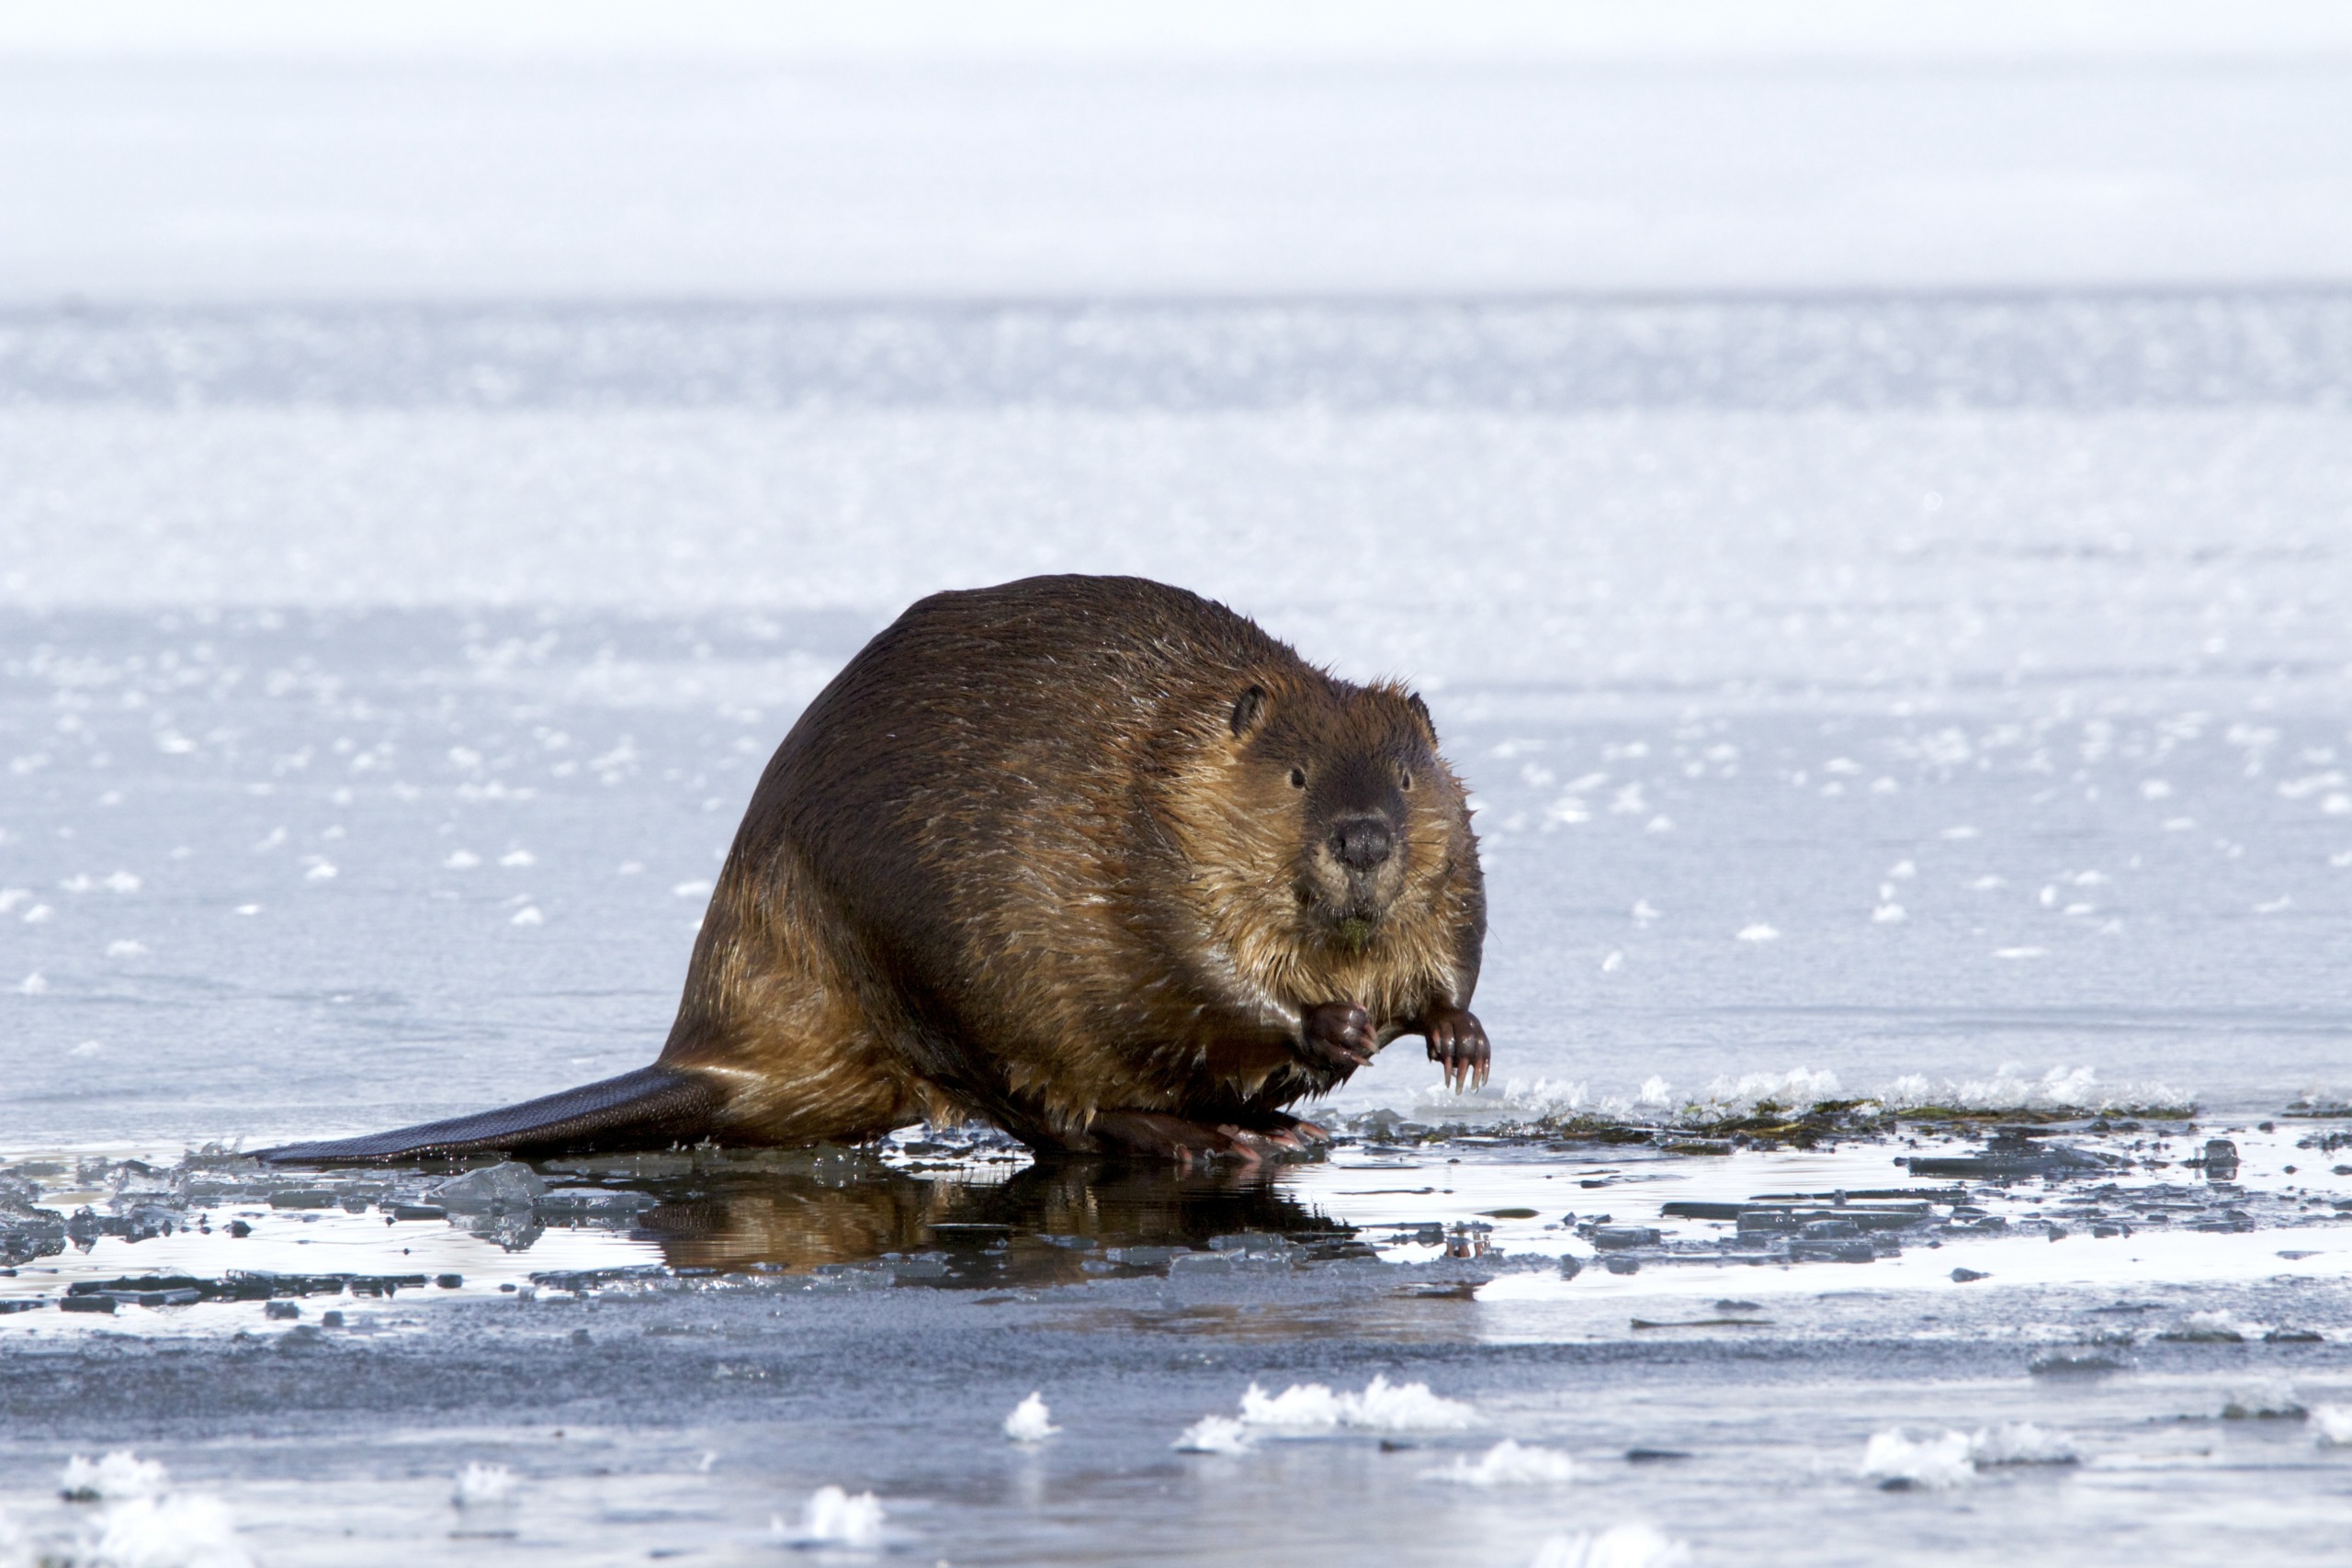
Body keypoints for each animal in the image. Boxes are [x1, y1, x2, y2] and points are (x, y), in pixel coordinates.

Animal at [262, 576, 1486, 1166]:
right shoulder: (1150, 831)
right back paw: (1219, 1136)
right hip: (922, 960)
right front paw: (1324, 1030)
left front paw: (1456, 1040)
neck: (1175, 753)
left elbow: (1455, 938)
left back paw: (1275, 1128)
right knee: (1052, 1113)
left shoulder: (1452, 860)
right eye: (1292, 773)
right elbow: (1192, 960)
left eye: (1406, 774)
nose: (1364, 838)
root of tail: (711, 1055)